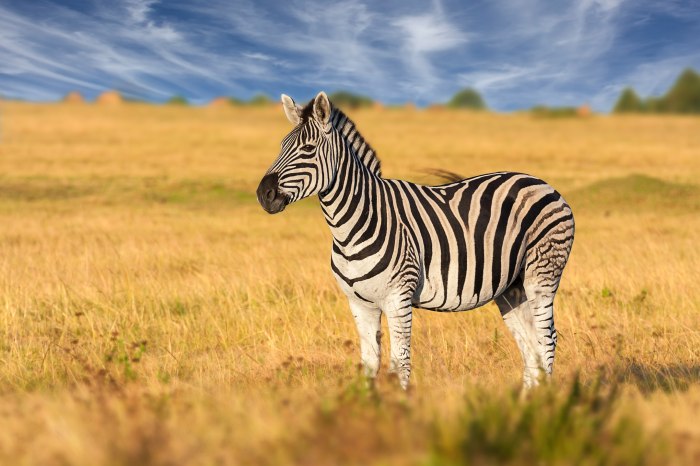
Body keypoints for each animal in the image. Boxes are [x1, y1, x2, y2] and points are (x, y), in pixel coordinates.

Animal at [258, 91, 576, 390]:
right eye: (281, 146)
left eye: (308, 149)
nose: (264, 194)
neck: (352, 225)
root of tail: (540, 182)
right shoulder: (359, 303)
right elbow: (370, 364)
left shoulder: (398, 297)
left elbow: (400, 364)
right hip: (511, 288)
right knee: (530, 345)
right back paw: (525, 404)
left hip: (542, 274)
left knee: (547, 340)